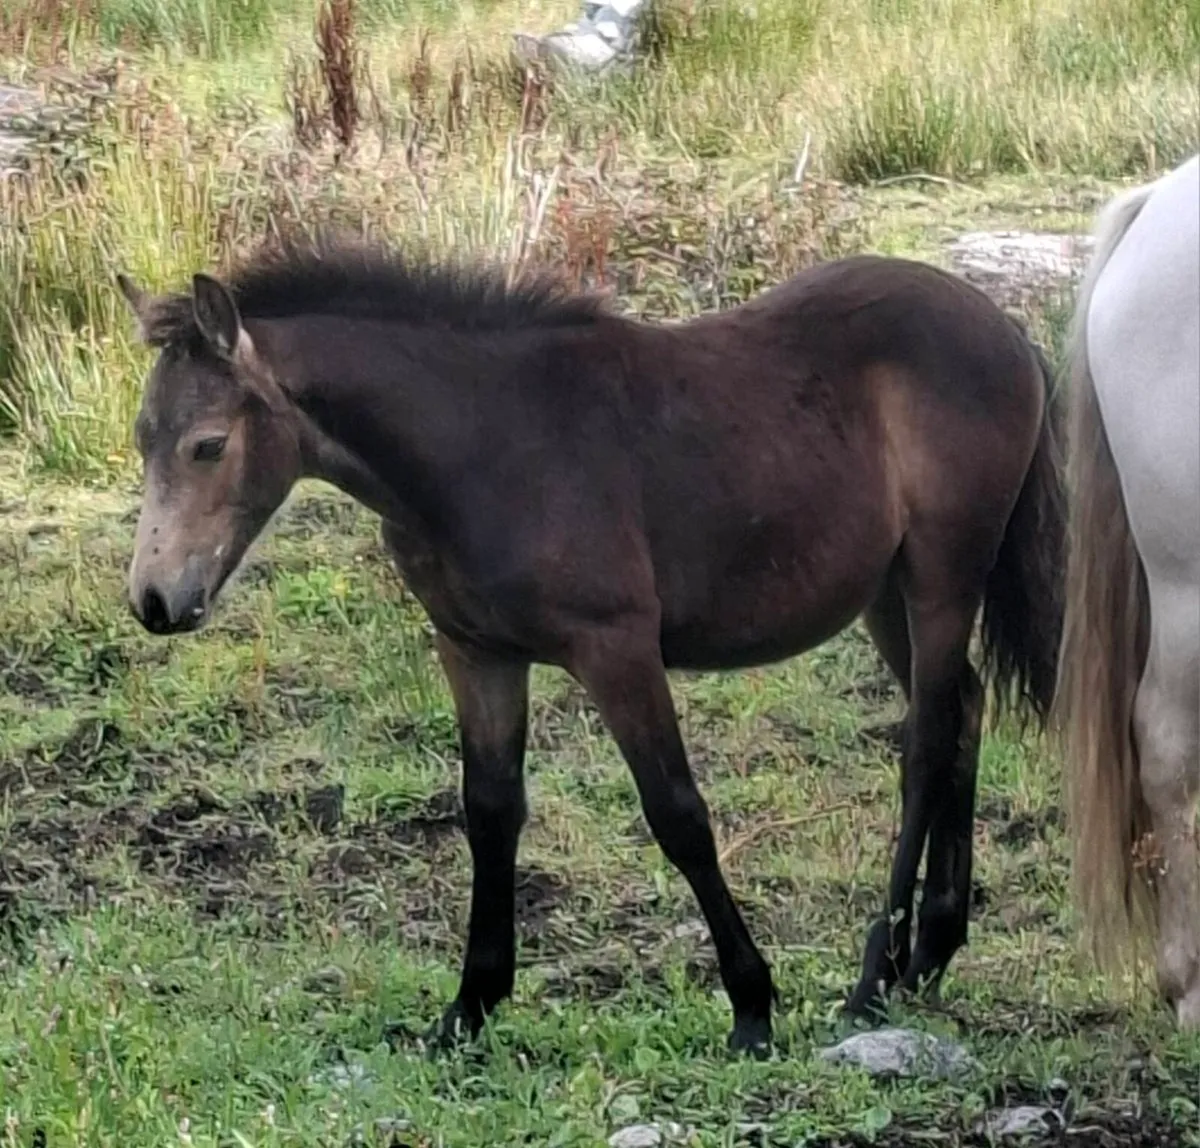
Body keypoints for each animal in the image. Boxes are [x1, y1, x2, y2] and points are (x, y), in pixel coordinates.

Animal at [115, 235, 1065, 1056]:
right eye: (141, 437)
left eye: (208, 445)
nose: (156, 601)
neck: (484, 444)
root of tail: (1004, 328)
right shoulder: (476, 651)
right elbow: (490, 811)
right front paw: (470, 1005)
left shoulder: (617, 650)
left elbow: (678, 814)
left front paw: (753, 1004)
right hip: (884, 593)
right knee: (963, 712)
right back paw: (930, 953)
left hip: (944, 575)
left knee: (927, 743)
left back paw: (875, 975)